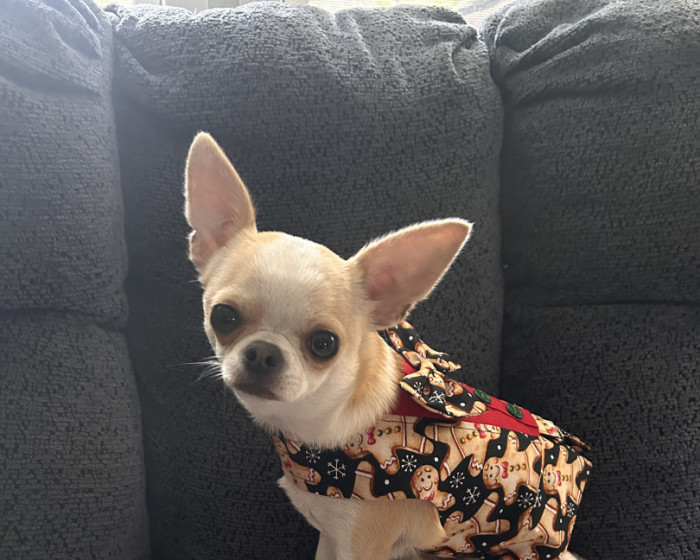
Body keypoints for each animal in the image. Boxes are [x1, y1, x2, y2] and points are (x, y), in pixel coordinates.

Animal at [184, 132, 591, 560]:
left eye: (324, 344)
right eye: (224, 317)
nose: (264, 352)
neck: (321, 422)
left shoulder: (361, 544)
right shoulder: (331, 537)